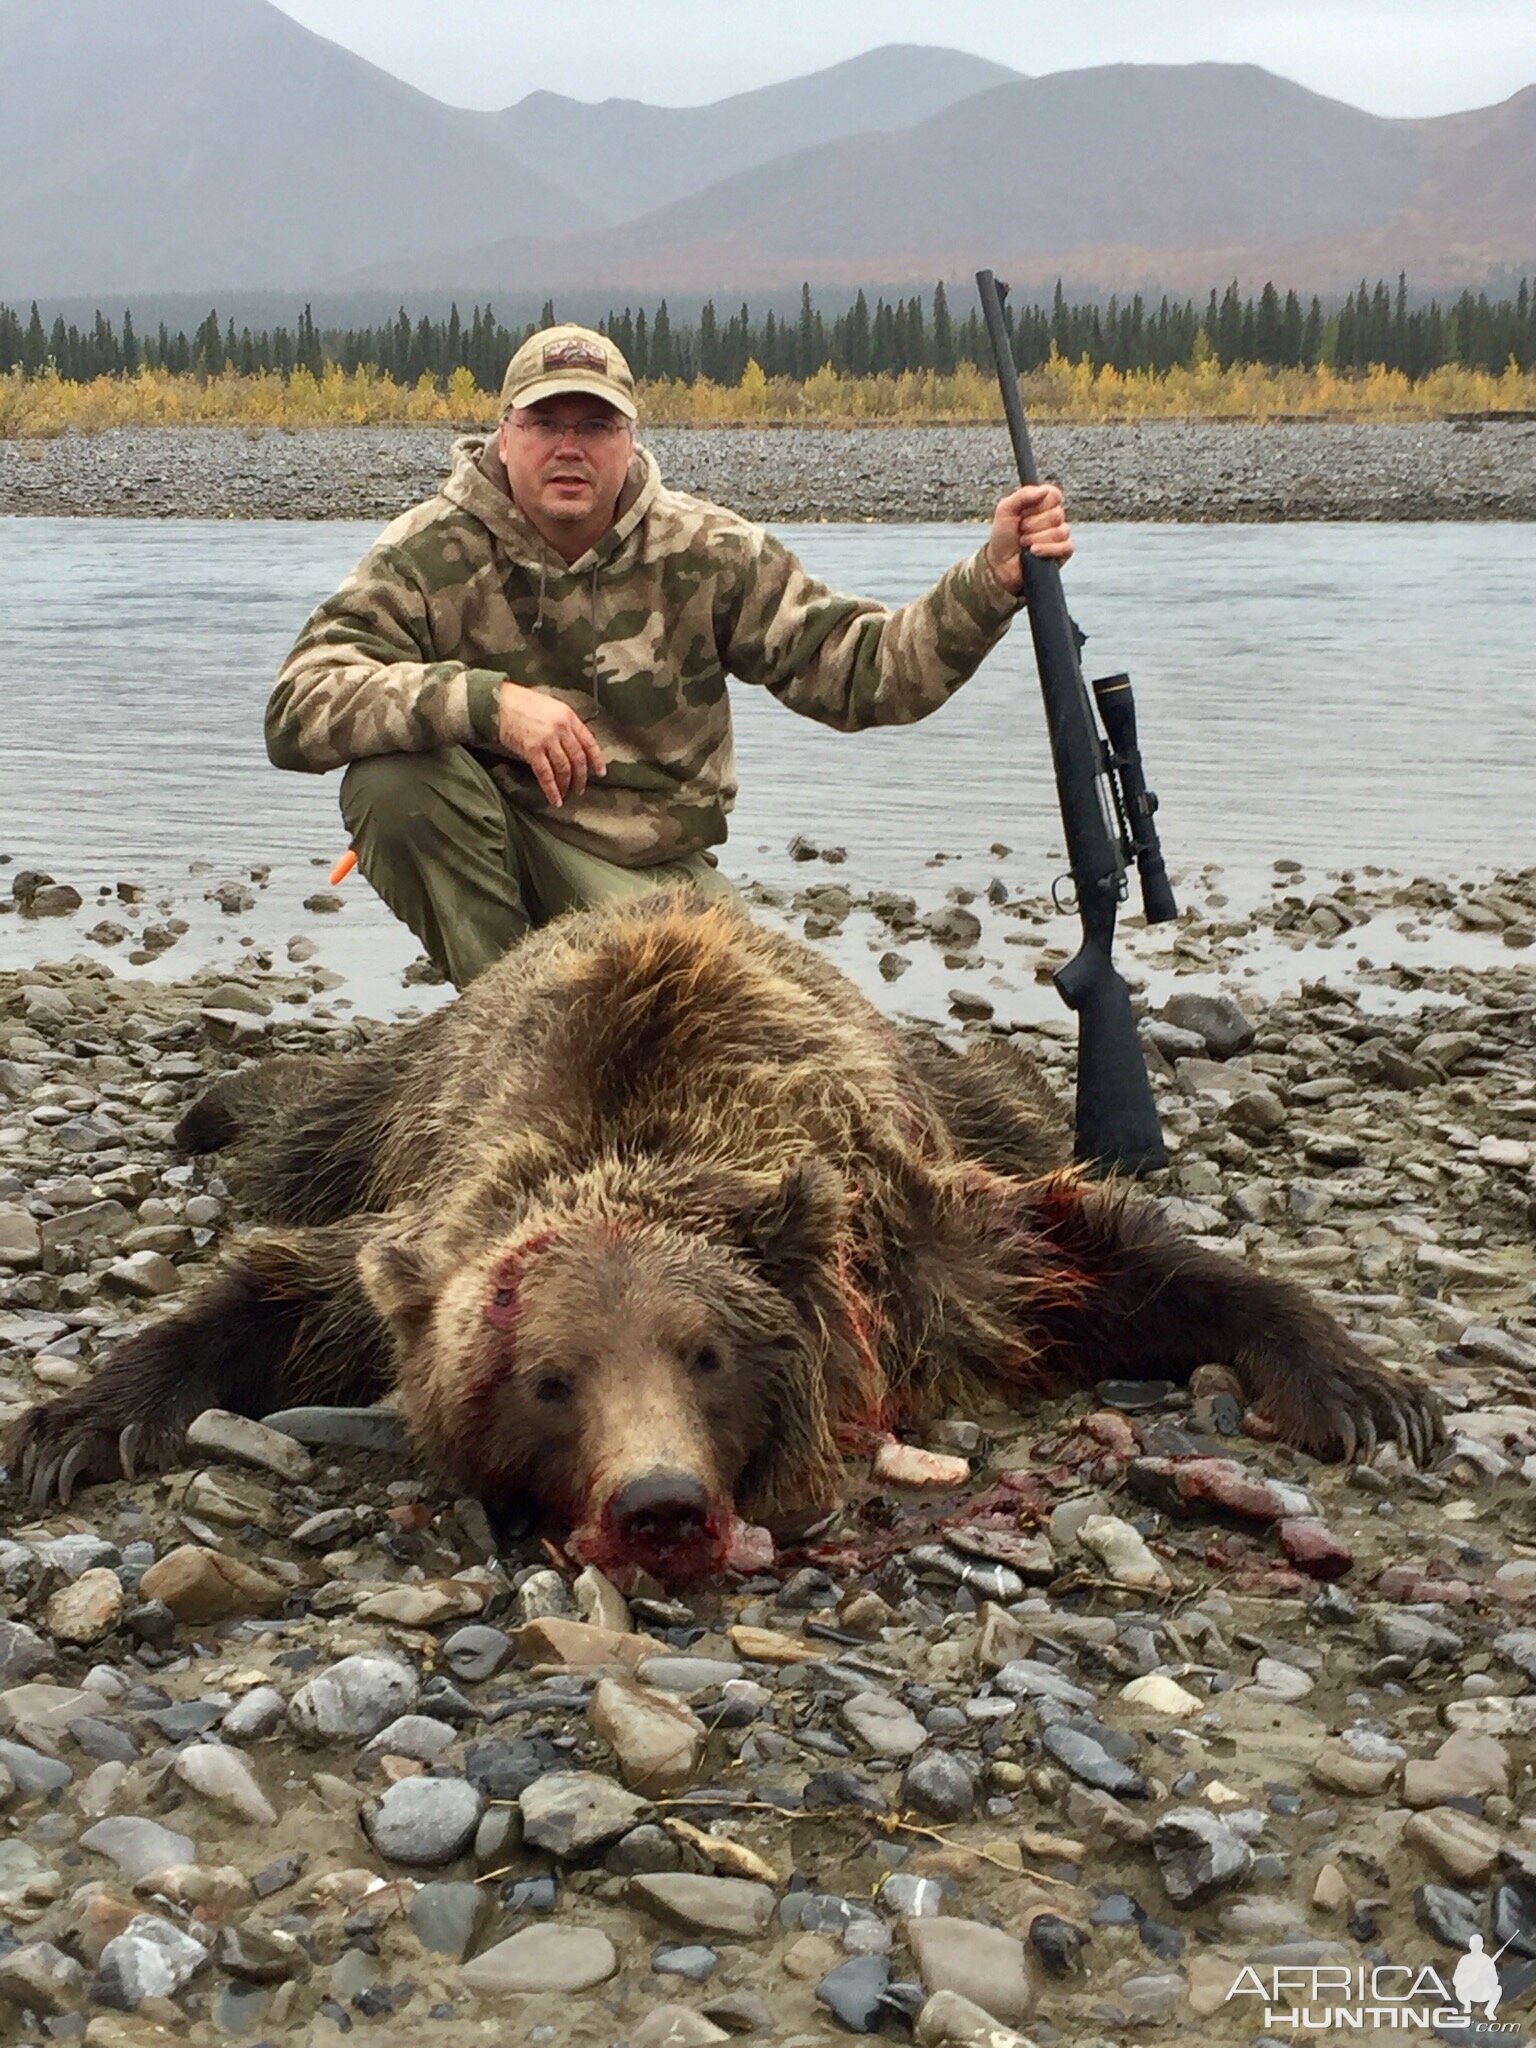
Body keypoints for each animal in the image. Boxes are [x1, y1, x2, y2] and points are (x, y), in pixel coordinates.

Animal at [9, 897, 1441, 1581]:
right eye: (546, 1377)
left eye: (705, 1353)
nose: (658, 1500)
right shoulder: (420, 1227)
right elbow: (278, 1288)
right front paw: (72, 1421)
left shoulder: (921, 1249)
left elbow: (1099, 1251)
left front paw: (1361, 1385)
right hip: (396, 1093)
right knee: (301, 1132)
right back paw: (213, 1098)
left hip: (962, 1092)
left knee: (1019, 1095)